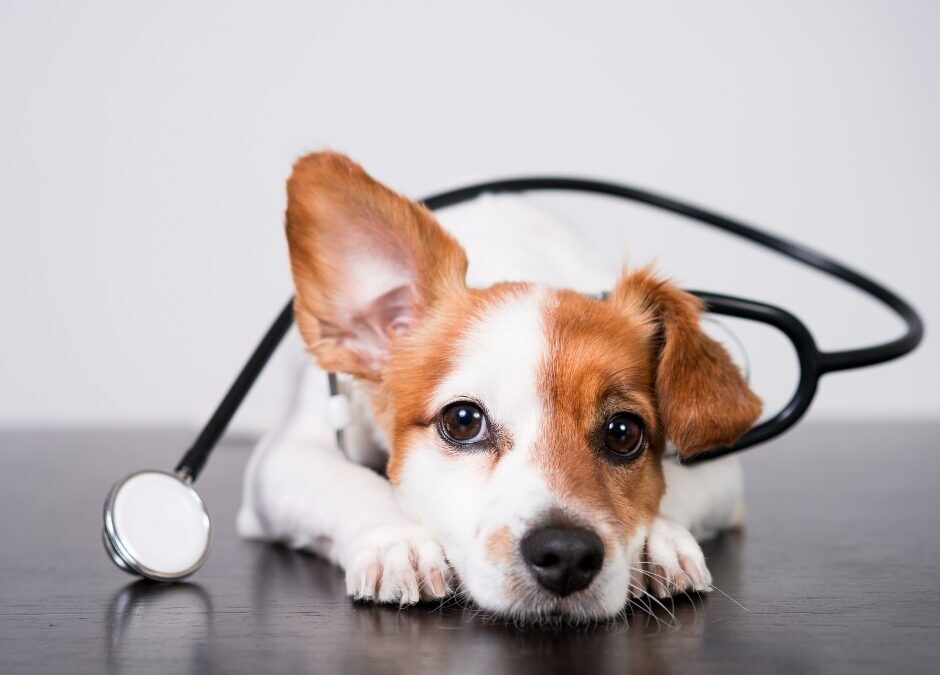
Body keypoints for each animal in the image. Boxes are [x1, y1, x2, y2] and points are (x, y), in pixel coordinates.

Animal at [239, 152, 760, 624]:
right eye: (462, 420)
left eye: (624, 432)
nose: (566, 554)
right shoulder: (285, 457)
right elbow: (351, 482)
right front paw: (397, 539)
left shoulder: (721, 472)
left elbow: (678, 487)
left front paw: (658, 540)